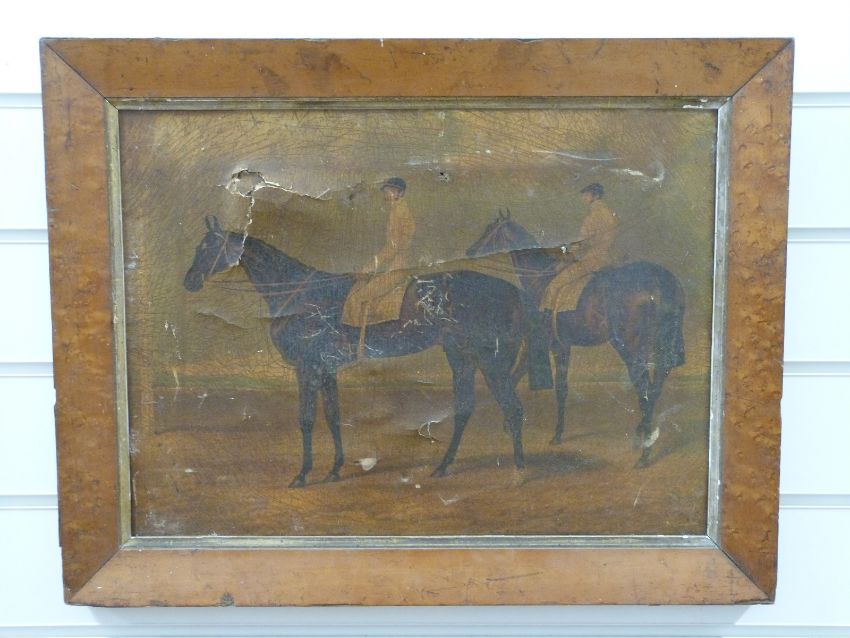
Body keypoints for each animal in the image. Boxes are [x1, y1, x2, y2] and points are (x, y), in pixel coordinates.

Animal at [183, 216, 528, 487]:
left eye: (208, 248)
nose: (189, 282)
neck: (301, 294)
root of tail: (509, 291)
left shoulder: (307, 367)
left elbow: (306, 419)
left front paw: (302, 474)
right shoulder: (327, 368)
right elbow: (333, 416)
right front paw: (334, 469)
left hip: (490, 358)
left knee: (512, 407)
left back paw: (520, 470)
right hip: (460, 355)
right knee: (466, 408)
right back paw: (444, 466)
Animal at [467, 211, 686, 467]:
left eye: (489, 229)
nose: (470, 251)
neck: (541, 278)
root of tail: (659, 282)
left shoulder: (548, 345)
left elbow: (553, 387)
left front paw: (552, 434)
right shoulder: (558, 346)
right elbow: (521, 379)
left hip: (629, 348)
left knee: (644, 389)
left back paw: (645, 452)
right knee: (656, 385)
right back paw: (642, 435)